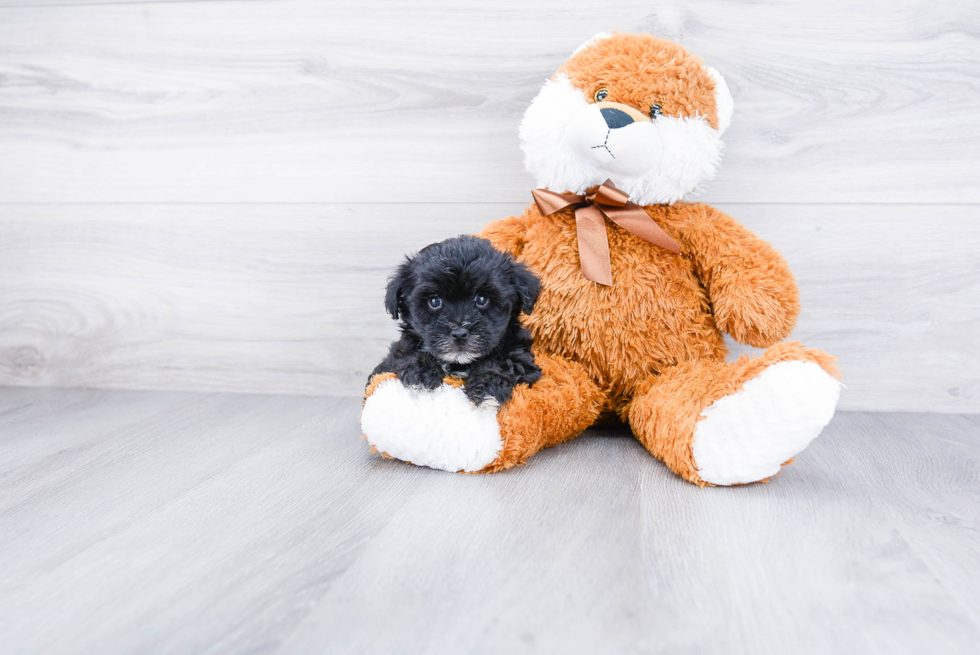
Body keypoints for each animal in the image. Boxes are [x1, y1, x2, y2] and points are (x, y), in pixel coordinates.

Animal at [374, 236, 548, 404]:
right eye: (434, 301)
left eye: (481, 299)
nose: (459, 334)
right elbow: (407, 351)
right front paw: (420, 371)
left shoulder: (523, 359)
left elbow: (505, 361)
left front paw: (486, 387)